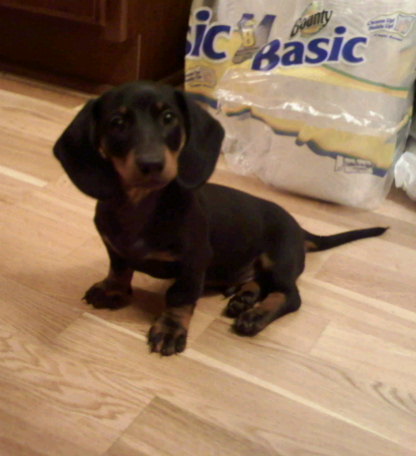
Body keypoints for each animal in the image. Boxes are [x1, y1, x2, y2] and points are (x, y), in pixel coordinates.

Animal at [54, 81, 387, 356]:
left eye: (169, 118)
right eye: (117, 123)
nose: (151, 163)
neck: (141, 205)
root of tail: (299, 227)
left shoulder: (194, 261)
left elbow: (180, 297)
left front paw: (170, 329)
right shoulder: (114, 248)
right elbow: (119, 270)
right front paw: (112, 290)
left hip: (279, 260)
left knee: (290, 295)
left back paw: (256, 314)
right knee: (260, 283)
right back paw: (244, 298)